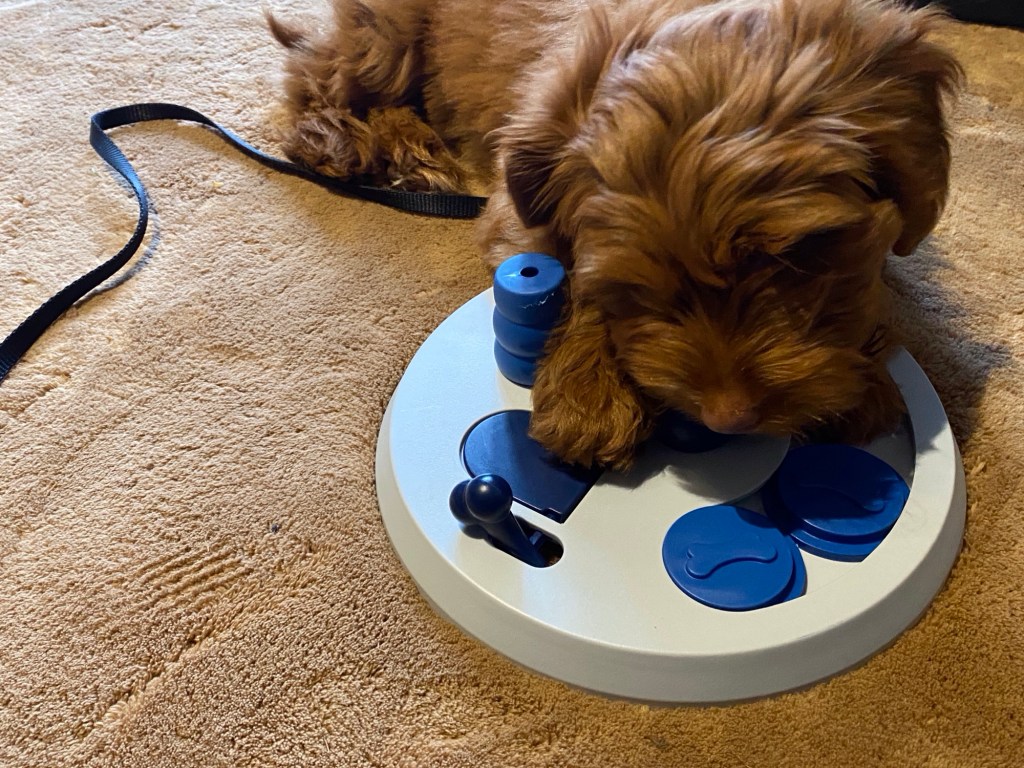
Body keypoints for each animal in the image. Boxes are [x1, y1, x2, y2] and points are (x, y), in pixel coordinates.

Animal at [268, 0, 963, 469]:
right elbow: (566, 272)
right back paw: (373, 144)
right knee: (316, 82)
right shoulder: (521, 193)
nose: (729, 419)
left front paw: (865, 378)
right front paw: (590, 400)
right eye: (640, 287)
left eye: (799, 260)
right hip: (387, 35)